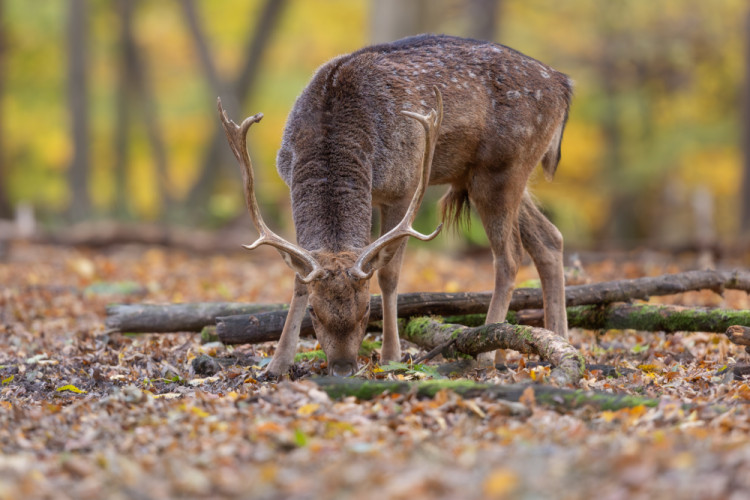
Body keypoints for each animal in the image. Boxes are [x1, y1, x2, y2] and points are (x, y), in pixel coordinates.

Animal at [218, 34, 573, 377]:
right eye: (315, 314)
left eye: (365, 310)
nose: (343, 368)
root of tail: (563, 85)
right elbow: (298, 280)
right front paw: (278, 364)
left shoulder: (402, 187)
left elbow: (389, 273)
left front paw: (391, 356)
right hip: (487, 176)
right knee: (550, 238)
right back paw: (557, 343)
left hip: (501, 170)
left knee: (509, 257)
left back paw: (486, 353)